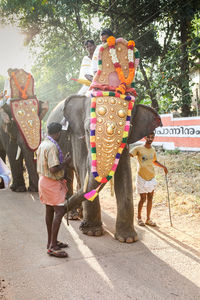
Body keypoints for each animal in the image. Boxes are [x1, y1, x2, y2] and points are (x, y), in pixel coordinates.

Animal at [47, 95, 161, 243]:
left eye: (128, 132)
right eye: (88, 130)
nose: (83, 226)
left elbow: (124, 174)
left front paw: (128, 238)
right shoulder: (76, 136)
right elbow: (83, 167)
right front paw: (92, 232)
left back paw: (79, 213)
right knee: (70, 175)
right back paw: (73, 215)